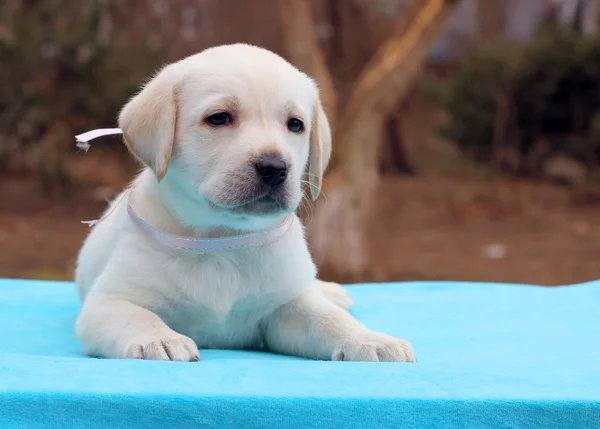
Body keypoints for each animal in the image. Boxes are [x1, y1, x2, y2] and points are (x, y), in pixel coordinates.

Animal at [74, 43, 418, 362]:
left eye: (295, 124)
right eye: (218, 118)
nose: (274, 168)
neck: (222, 239)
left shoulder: (286, 307)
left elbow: (328, 319)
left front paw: (371, 339)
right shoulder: (109, 300)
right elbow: (137, 315)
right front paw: (158, 338)